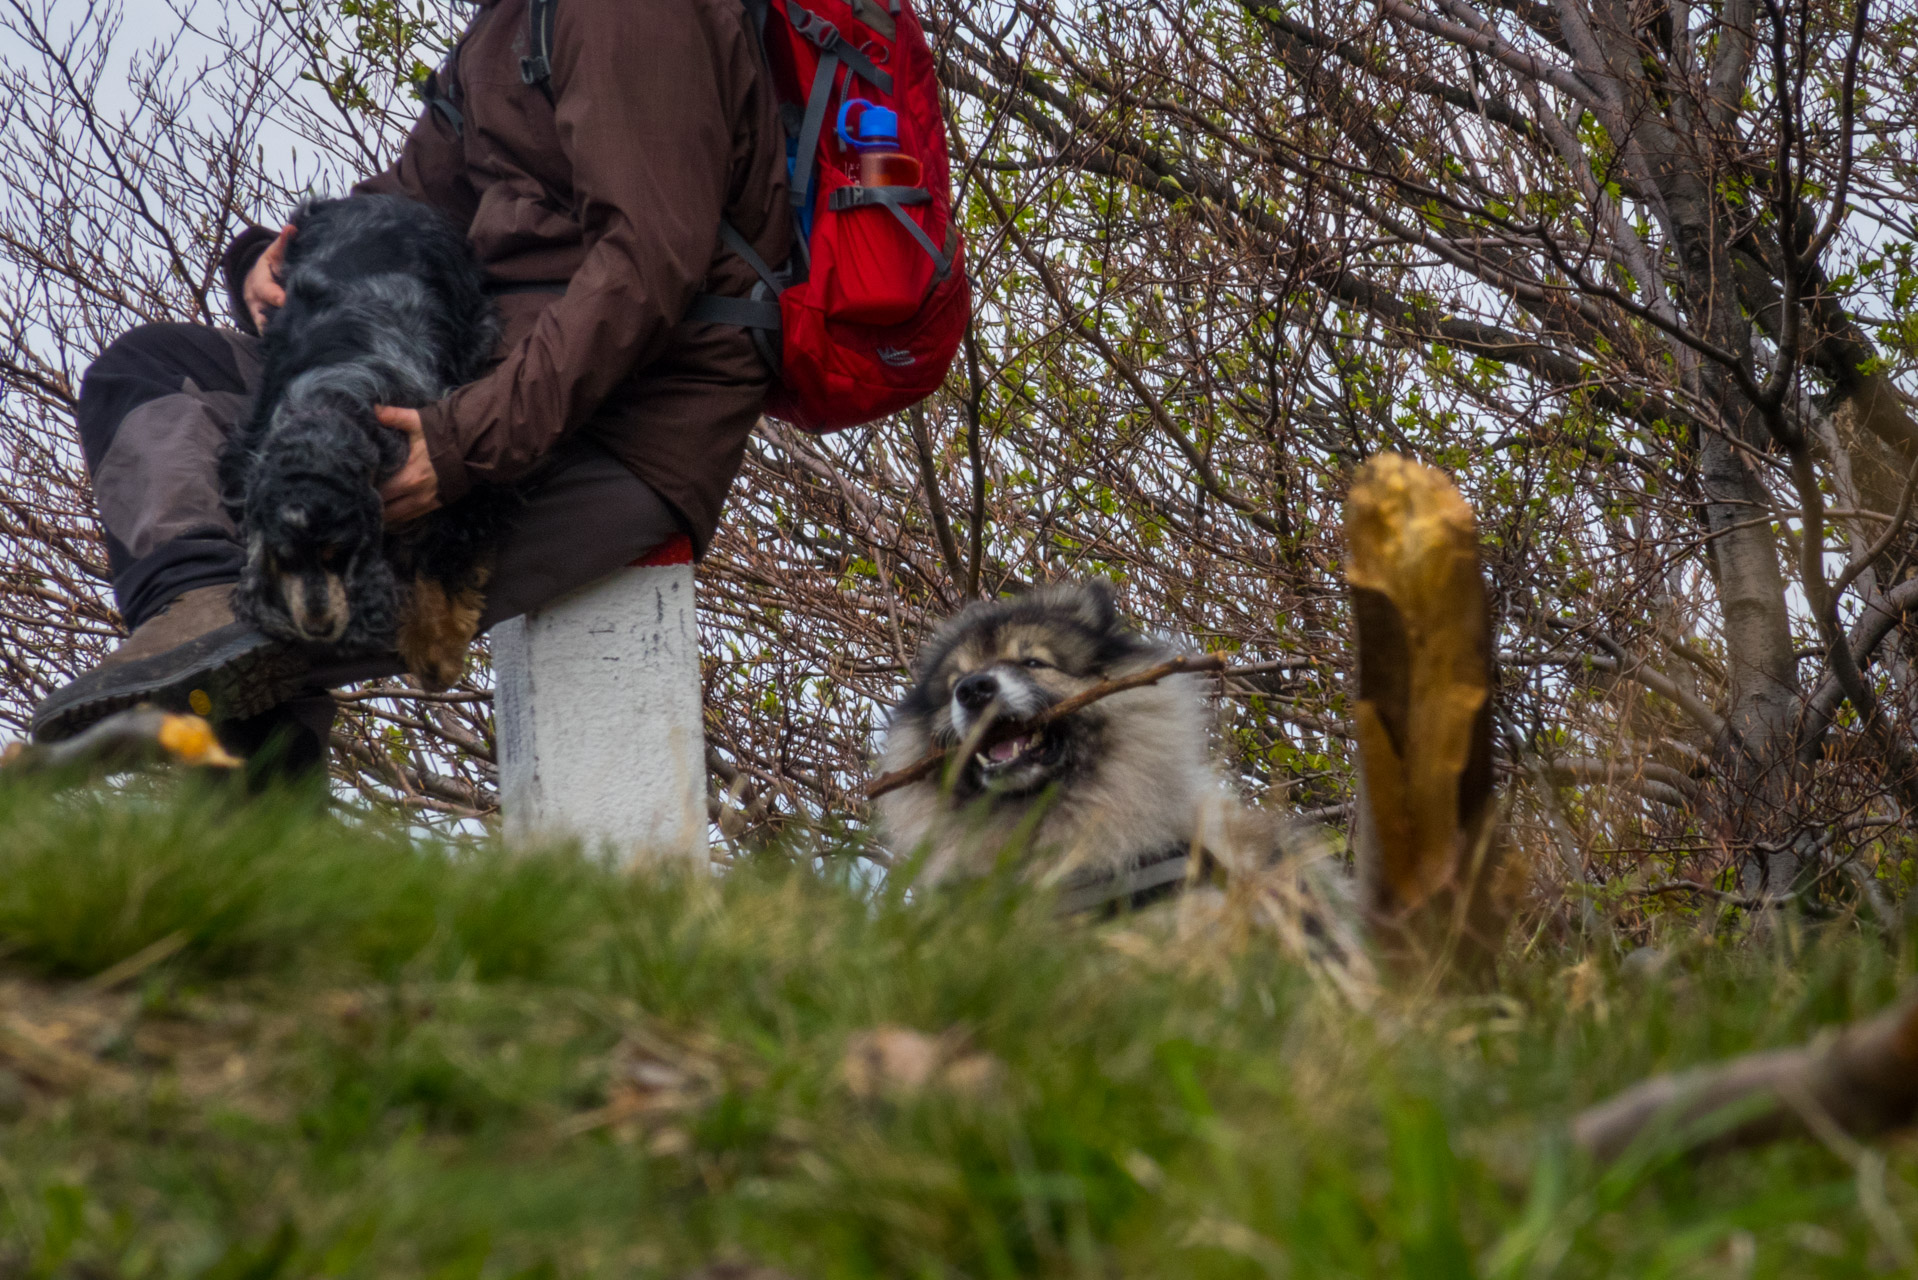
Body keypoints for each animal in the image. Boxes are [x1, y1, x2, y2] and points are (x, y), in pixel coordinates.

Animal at [219, 195, 510, 690]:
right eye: (286, 559)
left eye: (338, 555)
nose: (318, 627)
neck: (325, 411)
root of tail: (367, 198)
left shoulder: (448, 474)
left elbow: (440, 561)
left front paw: (435, 652)